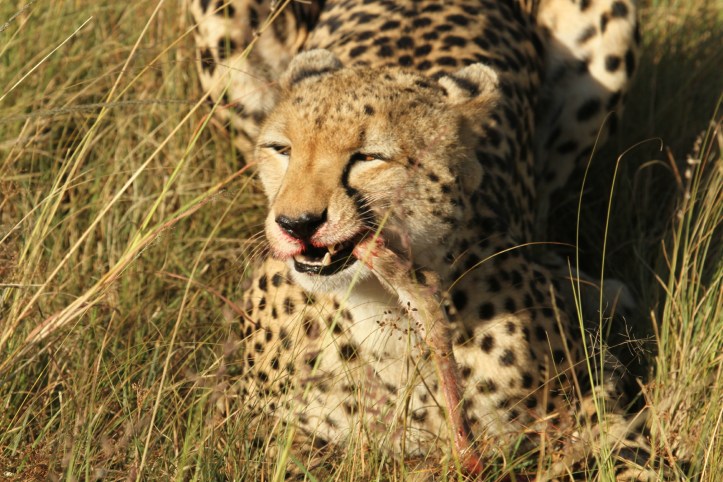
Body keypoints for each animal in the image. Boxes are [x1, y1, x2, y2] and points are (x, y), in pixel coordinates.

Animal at [187, 0, 673, 479]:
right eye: (281, 149)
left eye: (369, 157)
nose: (296, 223)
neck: (383, 307)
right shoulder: (244, 419)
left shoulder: (593, 399)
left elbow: (633, 459)